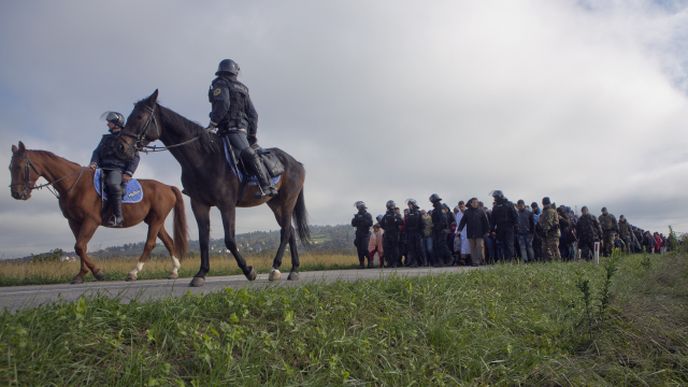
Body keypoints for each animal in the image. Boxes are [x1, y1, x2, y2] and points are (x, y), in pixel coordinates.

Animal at [8, 141, 191, 284]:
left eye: (19, 166)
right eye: (10, 167)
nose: (16, 194)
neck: (74, 184)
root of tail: (167, 187)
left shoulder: (91, 220)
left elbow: (79, 246)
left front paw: (98, 272)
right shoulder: (74, 222)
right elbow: (81, 247)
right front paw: (80, 275)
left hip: (157, 219)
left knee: (150, 244)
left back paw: (133, 273)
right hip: (154, 220)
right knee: (168, 242)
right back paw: (174, 271)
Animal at [119, 89, 310, 286]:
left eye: (140, 116)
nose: (122, 146)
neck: (204, 158)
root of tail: (296, 163)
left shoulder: (226, 205)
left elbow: (230, 240)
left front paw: (248, 270)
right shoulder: (199, 204)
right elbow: (204, 240)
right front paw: (201, 273)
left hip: (287, 201)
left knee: (285, 231)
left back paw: (275, 268)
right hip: (275, 203)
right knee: (290, 231)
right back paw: (293, 270)